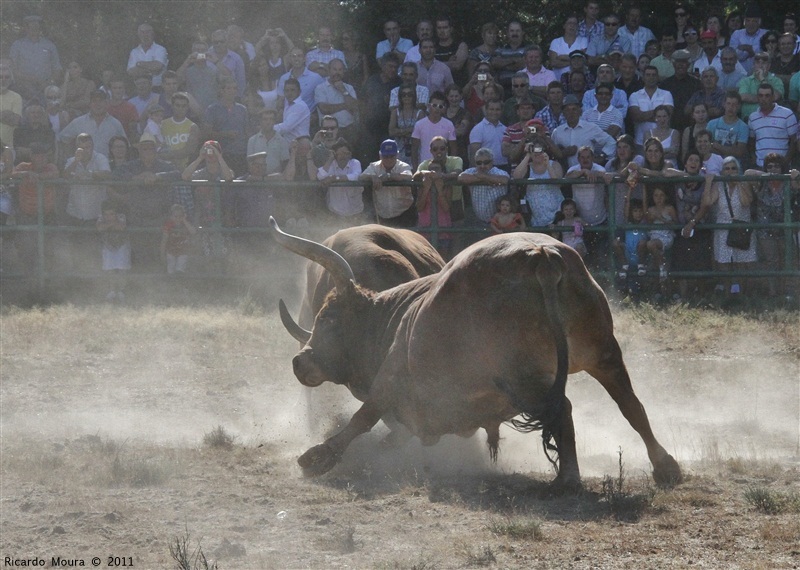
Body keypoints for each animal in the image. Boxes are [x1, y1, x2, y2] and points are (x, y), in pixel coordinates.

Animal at [274, 217, 680, 488]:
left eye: (328, 319)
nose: (299, 361)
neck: (399, 316)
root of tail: (542, 256)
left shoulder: (391, 379)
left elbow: (364, 417)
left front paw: (317, 458)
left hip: (523, 374)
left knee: (564, 408)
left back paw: (567, 478)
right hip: (603, 352)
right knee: (630, 404)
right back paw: (663, 465)